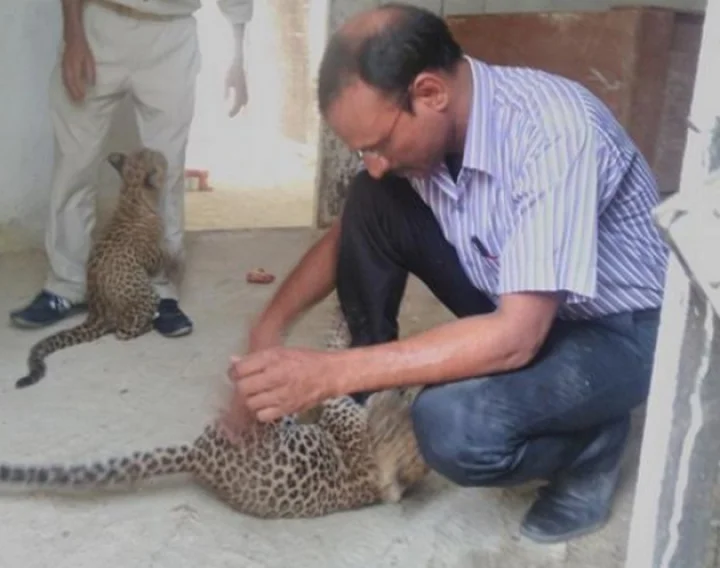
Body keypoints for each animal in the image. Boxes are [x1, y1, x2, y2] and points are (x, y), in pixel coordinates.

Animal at [15, 147, 179, 389]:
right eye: (154, 156)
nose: (159, 151)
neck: (131, 193)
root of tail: (97, 314)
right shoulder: (150, 257)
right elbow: (162, 256)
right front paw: (174, 256)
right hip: (146, 296)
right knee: (122, 333)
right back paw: (150, 323)